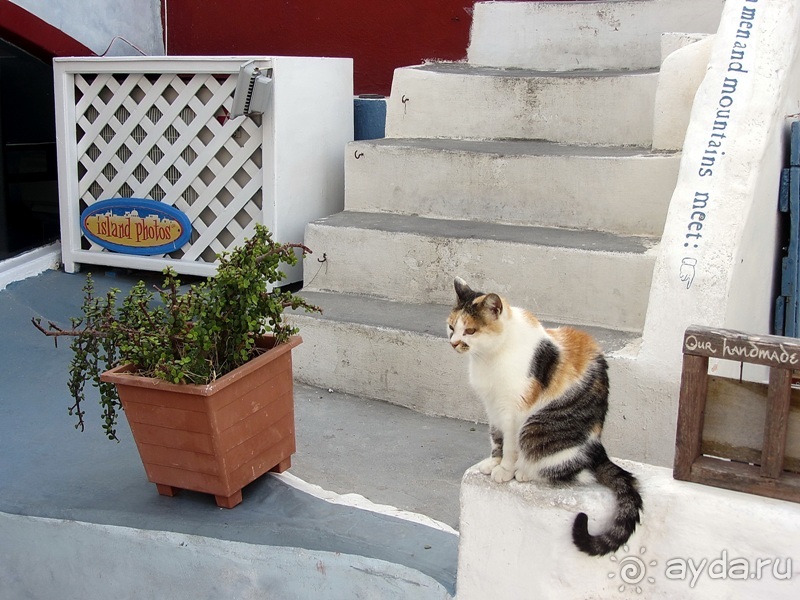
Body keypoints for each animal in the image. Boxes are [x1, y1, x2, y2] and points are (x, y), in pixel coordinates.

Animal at [450, 278, 644, 556]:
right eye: (451, 327)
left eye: (470, 331)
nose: (454, 343)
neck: (489, 358)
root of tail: (598, 450)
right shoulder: (492, 407)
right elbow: (496, 439)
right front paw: (493, 462)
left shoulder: (513, 411)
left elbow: (510, 446)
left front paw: (504, 470)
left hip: (535, 428)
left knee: (571, 472)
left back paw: (524, 471)